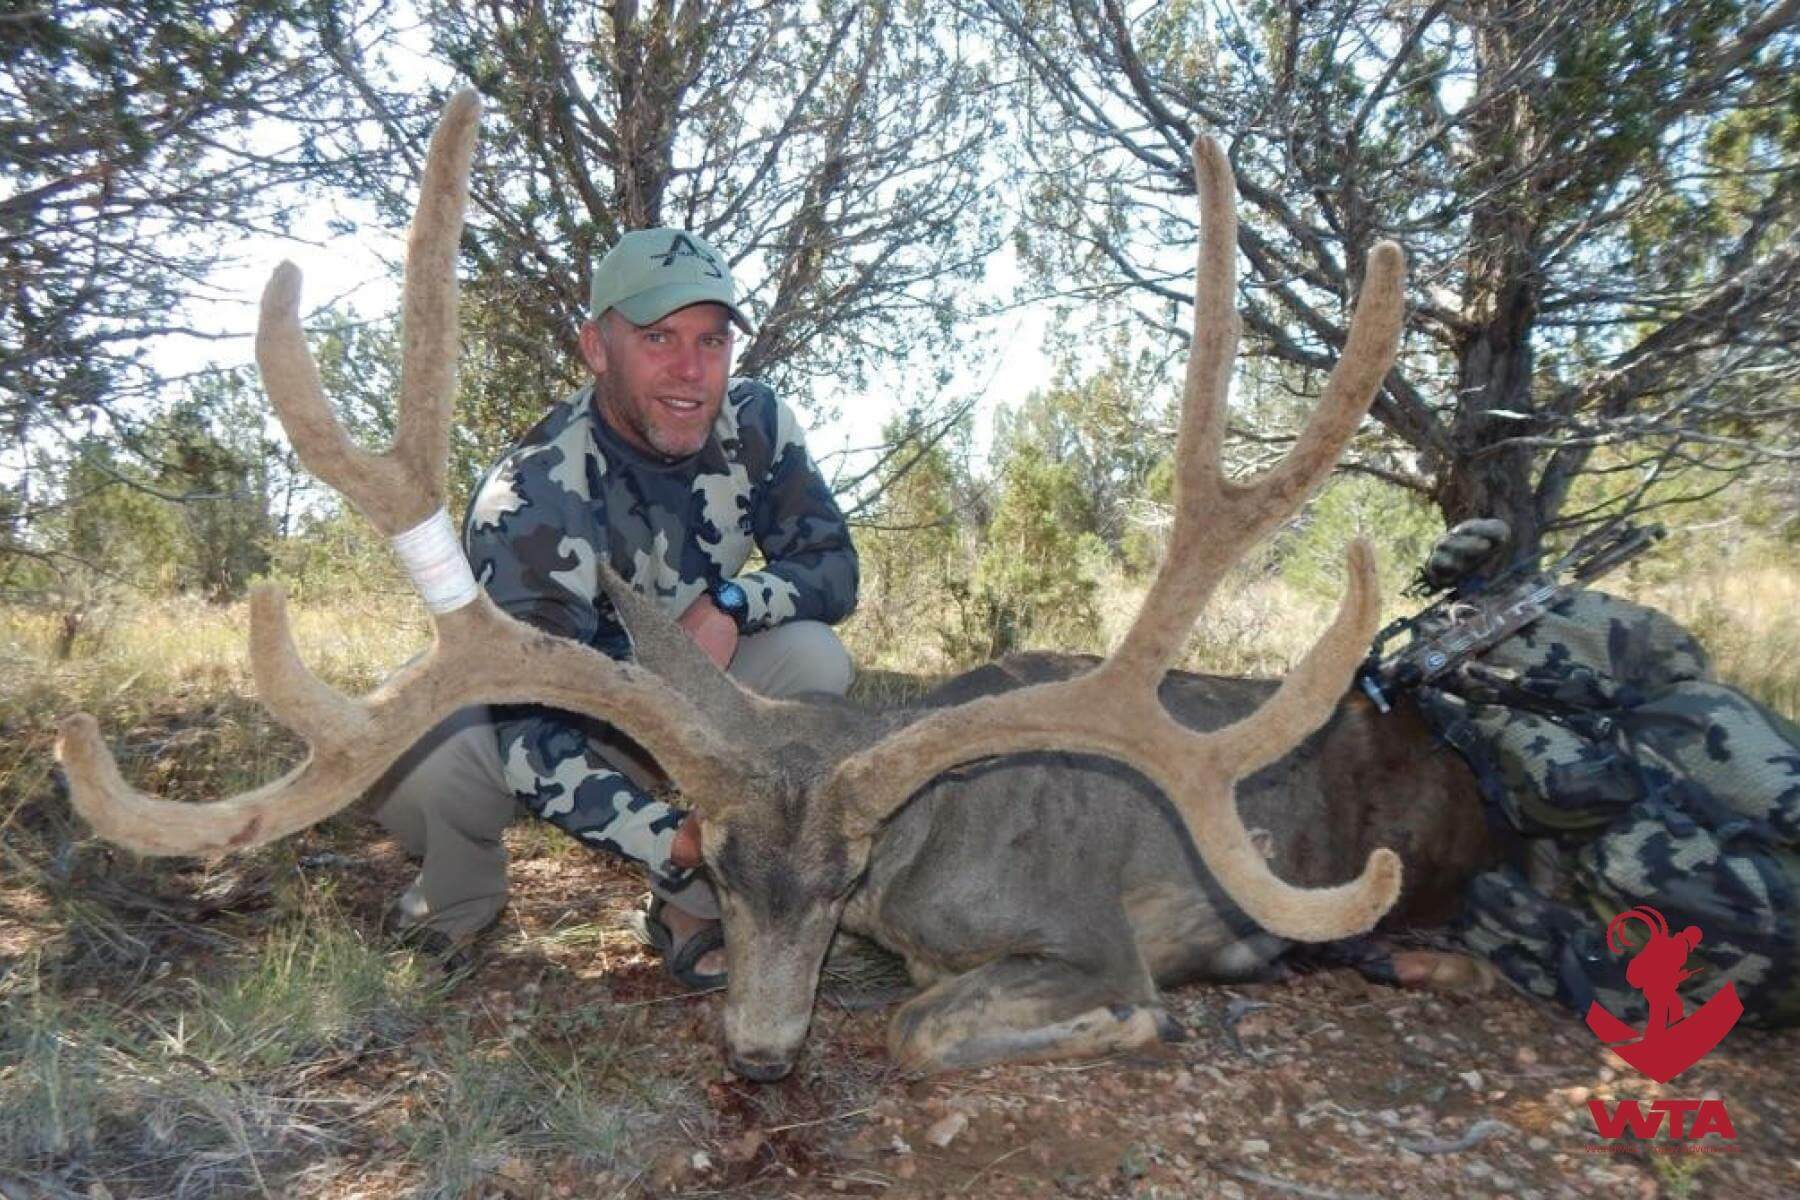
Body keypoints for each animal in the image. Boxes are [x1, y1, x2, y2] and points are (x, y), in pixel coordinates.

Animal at [56, 92, 1493, 1079]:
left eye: (845, 873)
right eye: (724, 867)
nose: (755, 1054)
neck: (928, 857)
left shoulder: (1091, 932)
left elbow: (933, 1025)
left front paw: (1132, 1025)